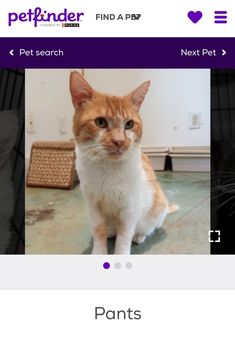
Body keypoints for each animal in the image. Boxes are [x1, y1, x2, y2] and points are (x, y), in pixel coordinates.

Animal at [69, 71, 178, 255]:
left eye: (129, 124)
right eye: (100, 122)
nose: (119, 141)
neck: (107, 168)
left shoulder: (130, 208)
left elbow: (124, 236)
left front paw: (121, 253)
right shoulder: (94, 207)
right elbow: (98, 231)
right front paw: (99, 252)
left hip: (155, 210)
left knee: (148, 228)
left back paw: (140, 235)